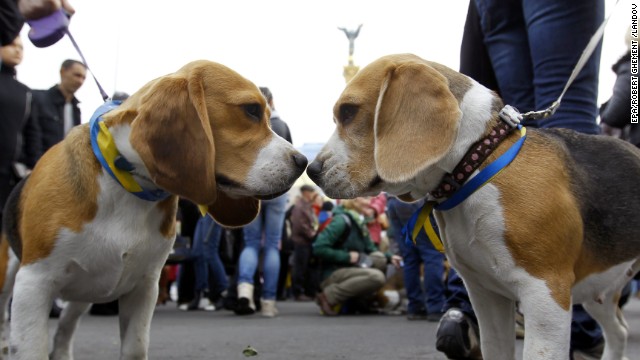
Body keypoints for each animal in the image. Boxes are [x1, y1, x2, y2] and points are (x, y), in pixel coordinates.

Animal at [0, 60, 308, 358]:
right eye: (251, 110)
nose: (303, 162)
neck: (126, 185)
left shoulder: (144, 287)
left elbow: (135, 348)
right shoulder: (34, 284)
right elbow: (33, 348)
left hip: (85, 289)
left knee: (65, 327)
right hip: (10, 277)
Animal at [308, 53, 636, 360]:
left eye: (348, 112)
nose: (312, 171)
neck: (475, 161)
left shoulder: (546, 294)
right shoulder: (487, 296)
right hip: (598, 288)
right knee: (619, 331)